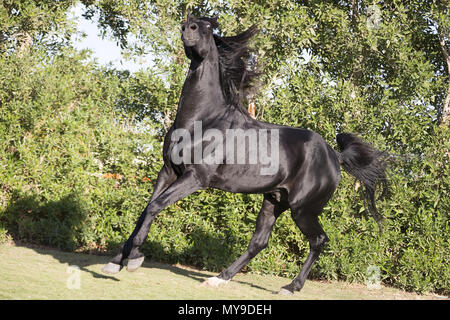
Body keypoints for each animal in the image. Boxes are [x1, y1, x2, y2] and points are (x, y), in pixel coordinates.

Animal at [103, 15, 390, 296]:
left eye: (207, 26)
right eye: (191, 20)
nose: (187, 28)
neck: (202, 121)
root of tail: (335, 157)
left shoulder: (195, 178)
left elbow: (155, 206)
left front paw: (135, 259)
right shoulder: (169, 171)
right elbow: (145, 210)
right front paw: (115, 262)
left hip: (303, 209)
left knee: (319, 240)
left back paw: (290, 287)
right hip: (275, 201)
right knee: (259, 242)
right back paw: (219, 279)